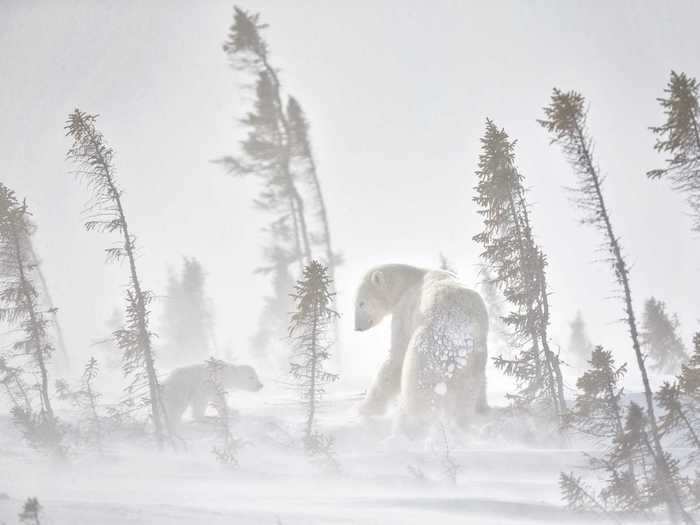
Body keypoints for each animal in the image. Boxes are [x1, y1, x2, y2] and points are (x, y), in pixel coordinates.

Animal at [356, 262, 486, 434]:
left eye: (361, 302)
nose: (357, 327)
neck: (408, 281)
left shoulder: (404, 313)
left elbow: (396, 358)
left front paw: (364, 409)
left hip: (427, 350)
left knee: (417, 390)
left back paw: (410, 425)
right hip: (473, 357)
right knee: (468, 391)